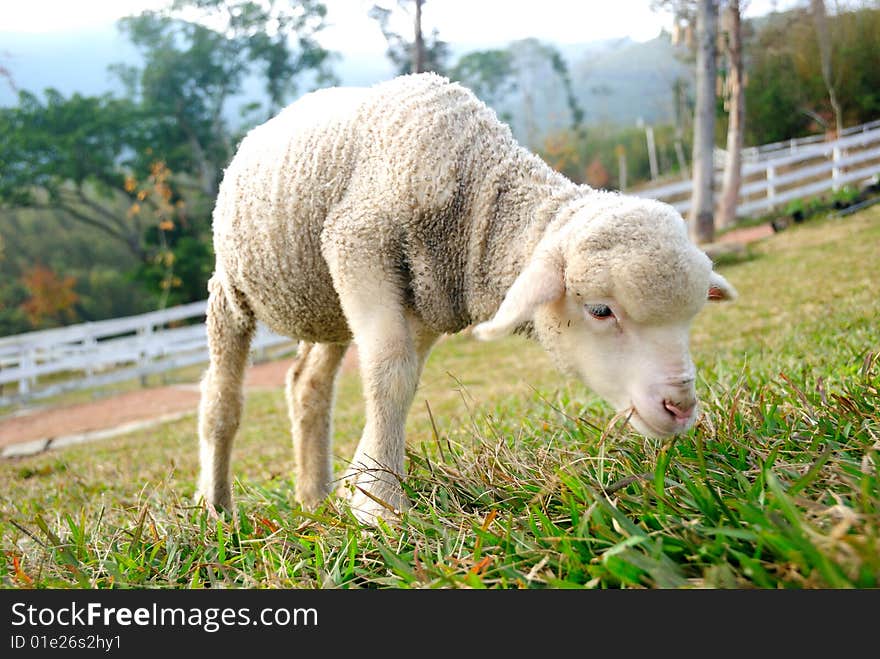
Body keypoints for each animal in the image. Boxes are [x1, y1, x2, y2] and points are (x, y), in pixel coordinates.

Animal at [198, 72, 736, 524]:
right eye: (601, 310)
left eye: (691, 319)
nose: (680, 407)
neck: (476, 196)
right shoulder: (357, 241)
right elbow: (390, 371)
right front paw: (379, 505)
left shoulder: (427, 299)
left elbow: (399, 377)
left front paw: (361, 484)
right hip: (232, 288)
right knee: (222, 398)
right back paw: (216, 509)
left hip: (325, 306)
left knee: (307, 385)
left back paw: (313, 496)